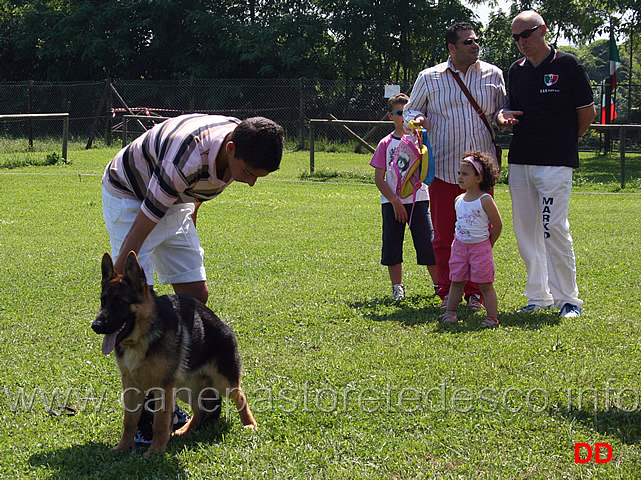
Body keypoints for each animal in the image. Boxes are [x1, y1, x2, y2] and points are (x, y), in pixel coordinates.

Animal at [92, 251, 258, 454]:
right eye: (103, 301)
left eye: (120, 302)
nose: (95, 326)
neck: (143, 336)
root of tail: (223, 324)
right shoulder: (131, 385)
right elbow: (129, 421)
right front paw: (123, 447)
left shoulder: (163, 388)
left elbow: (160, 422)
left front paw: (155, 452)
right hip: (184, 389)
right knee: (201, 410)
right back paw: (185, 430)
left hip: (222, 382)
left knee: (240, 396)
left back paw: (249, 424)